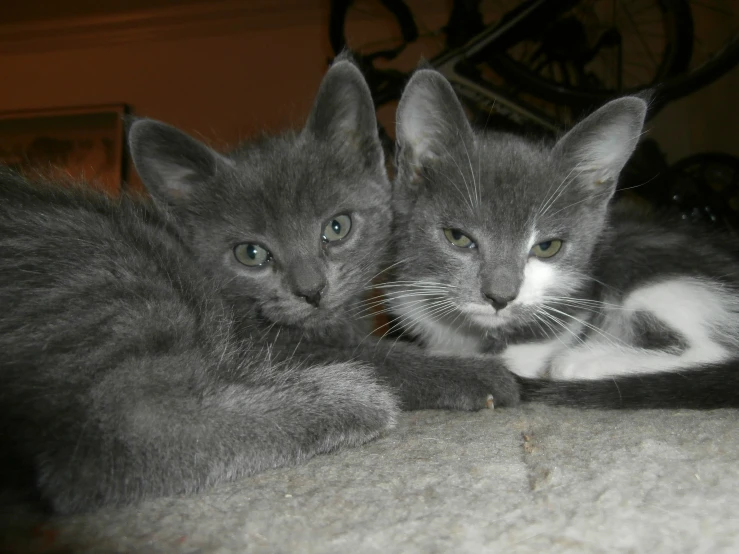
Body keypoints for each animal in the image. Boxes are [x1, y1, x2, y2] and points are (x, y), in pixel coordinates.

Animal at [127, 59, 520, 414]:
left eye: (336, 227)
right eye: (250, 254)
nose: (311, 291)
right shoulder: (260, 349)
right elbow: (373, 361)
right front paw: (479, 375)